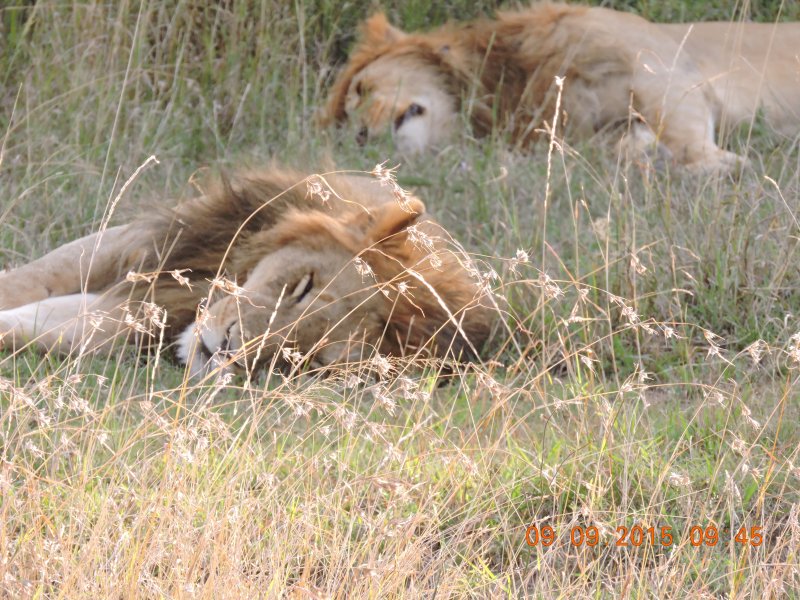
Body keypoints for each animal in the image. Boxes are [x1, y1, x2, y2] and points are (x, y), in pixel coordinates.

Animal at [0, 167, 496, 375]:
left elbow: (53, 327)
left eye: (310, 358)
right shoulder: (138, 246)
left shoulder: (136, 320)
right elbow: (34, 276)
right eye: (302, 286)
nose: (226, 351)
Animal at [322, 3, 800, 171]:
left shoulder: (662, 68)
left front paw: (727, 166)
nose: (363, 136)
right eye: (344, 132)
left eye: (360, 88)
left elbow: (692, 143)